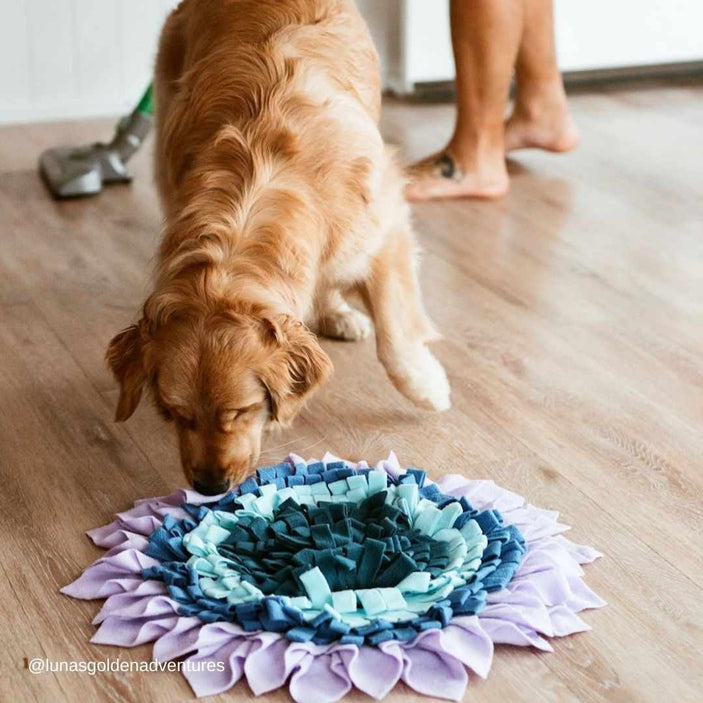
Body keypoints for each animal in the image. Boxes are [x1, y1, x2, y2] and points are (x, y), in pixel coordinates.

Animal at [107, 0, 448, 496]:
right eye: (175, 414)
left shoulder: (383, 225)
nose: (209, 486)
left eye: (242, 411)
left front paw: (427, 386)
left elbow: (395, 337)